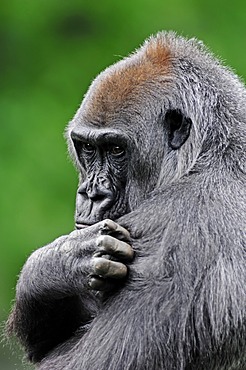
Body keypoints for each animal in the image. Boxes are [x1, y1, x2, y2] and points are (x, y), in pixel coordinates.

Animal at [6, 32, 245, 370]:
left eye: (116, 150)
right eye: (88, 148)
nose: (91, 194)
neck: (212, 154)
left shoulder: (179, 230)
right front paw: (60, 262)